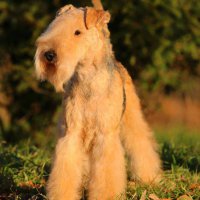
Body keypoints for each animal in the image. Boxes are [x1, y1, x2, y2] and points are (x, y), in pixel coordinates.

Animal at [35, 4, 162, 200]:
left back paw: (149, 178)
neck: (87, 77)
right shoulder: (72, 133)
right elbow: (65, 169)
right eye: (53, 27)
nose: (49, 54)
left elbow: (106, 174)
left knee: (141, 143)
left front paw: (106, 195)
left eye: (77, 32)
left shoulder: (105, 134)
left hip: (131, 117)